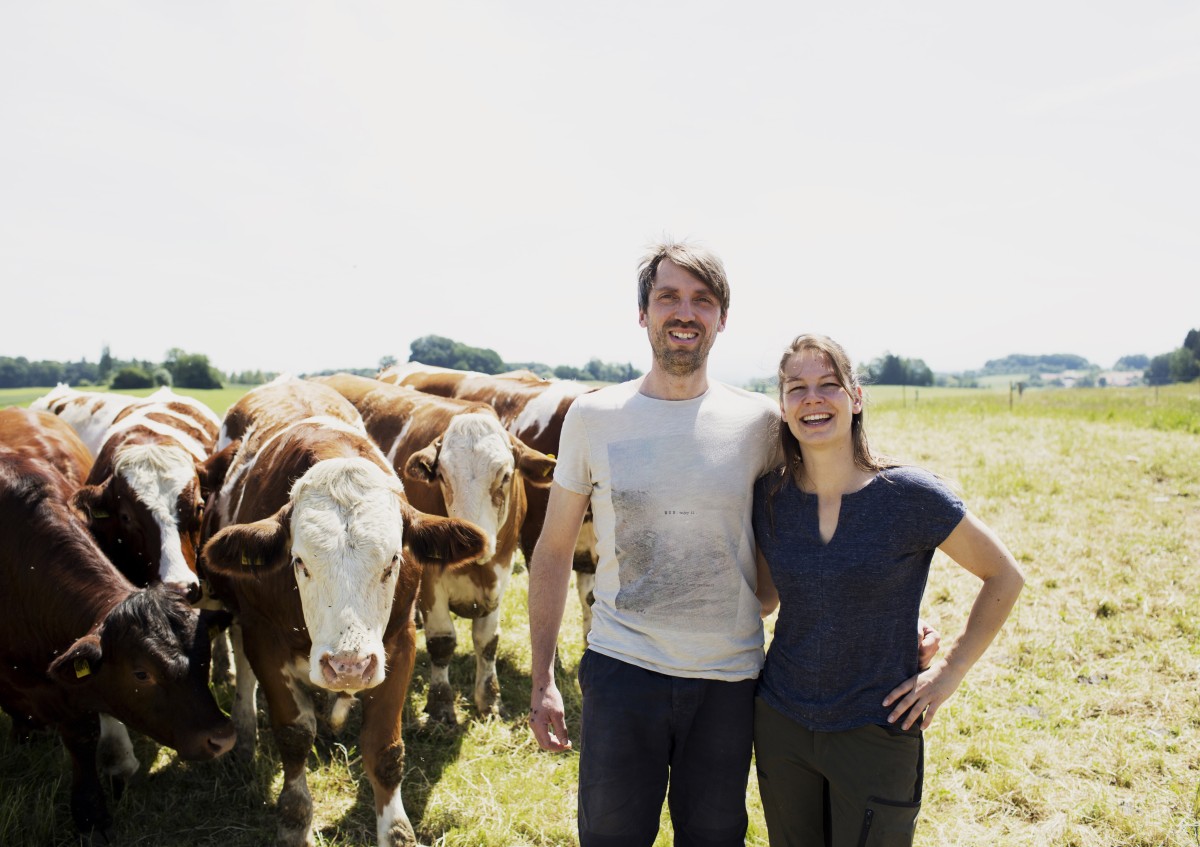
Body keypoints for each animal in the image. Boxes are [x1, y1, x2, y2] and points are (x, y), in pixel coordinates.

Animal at [201, 376, 487, 844]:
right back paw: (243, 733)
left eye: (393, 560)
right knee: (242, 665)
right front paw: (294, 820)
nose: (348, 666)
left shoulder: (399, 643)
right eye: (299, 561)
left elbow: (384, 750)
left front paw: (396, 830)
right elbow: (294, 735)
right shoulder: (265, 639)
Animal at [309, 371, 552, 724]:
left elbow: (487, 641)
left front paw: (490, 699)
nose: (479, 538)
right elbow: (442, 642)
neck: (476, 569)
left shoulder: (502, 570)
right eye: (443, 476)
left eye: (505, 476)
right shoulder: (431, 581)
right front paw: (440, 705)